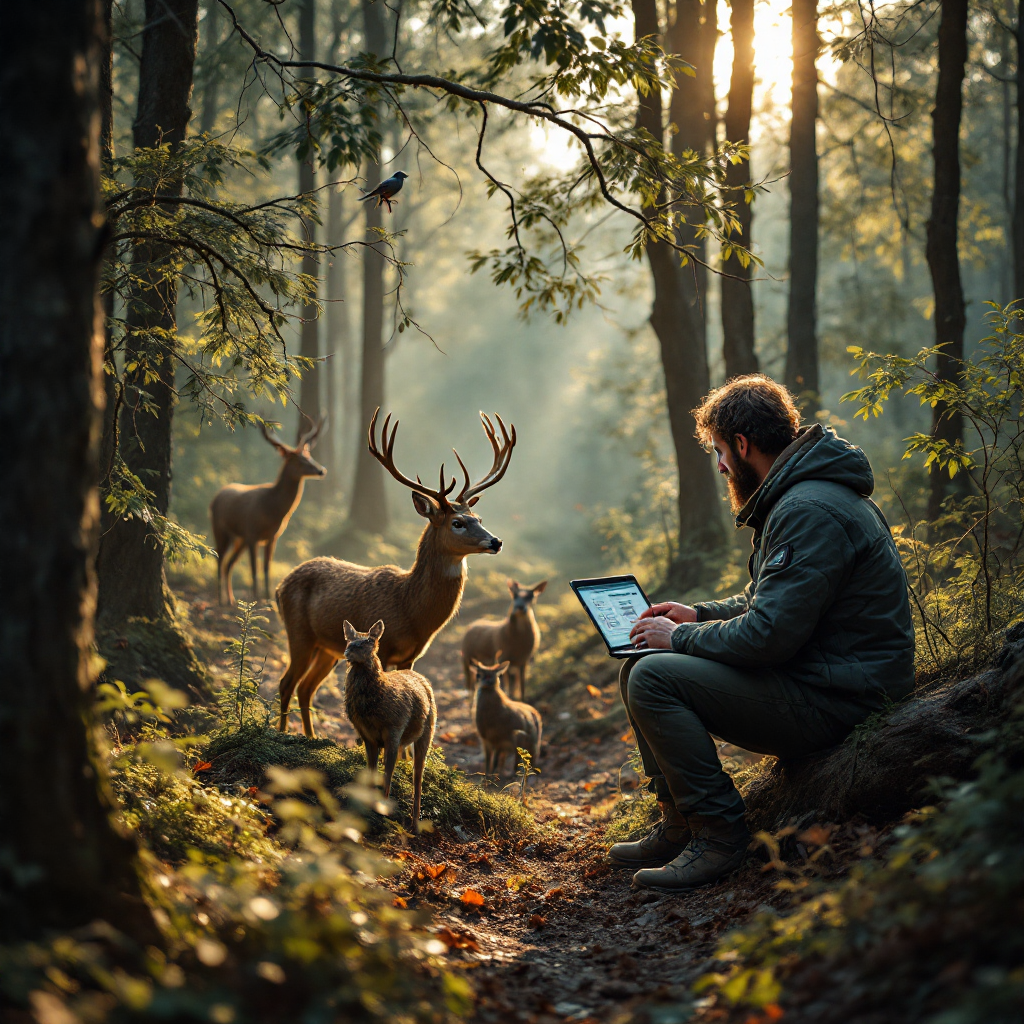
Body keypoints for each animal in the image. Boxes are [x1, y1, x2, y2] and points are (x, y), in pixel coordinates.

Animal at [210, 415, 326, 605]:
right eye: (298, 460)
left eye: (309, 455)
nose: (321, 470)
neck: (273, 511)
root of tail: (216, 496)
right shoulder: (252, 533)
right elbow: (254, 568)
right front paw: (256, 598)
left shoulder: (272, 537)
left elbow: (266, 567)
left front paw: (267, 597)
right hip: (220, 530)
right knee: (219, 560)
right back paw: (221, 599)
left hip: (239, 539)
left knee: (228, 564)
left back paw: (231, 600)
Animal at [276, 408, 516, 738]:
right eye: (457, 523)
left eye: (478, 517)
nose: (496, 541)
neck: (412, 611)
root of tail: (280, 585)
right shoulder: (387, 648)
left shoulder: (412, 655)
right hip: (298, 632)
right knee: (287, 683)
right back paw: (280, 732)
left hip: (327, 647)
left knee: (306, 687)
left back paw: (312, 737)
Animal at [342, 620, 436, 832]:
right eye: (349, 639)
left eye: (369, 640)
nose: (349, 650)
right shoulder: (367, 735)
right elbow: (371, 771)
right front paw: (369, 804)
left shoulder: (394, 729)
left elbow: (388, 773)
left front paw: (382, 807)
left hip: (428, 731)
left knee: (418, 776)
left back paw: (415, 824)